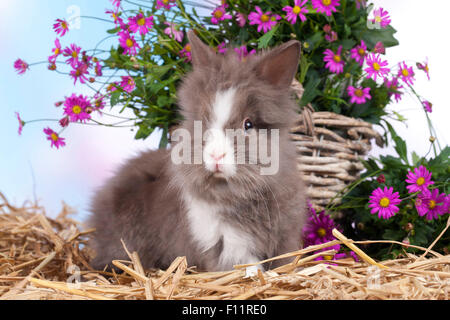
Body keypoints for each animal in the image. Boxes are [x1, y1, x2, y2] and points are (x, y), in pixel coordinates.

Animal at [90, 31, 312, 272]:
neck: (239, 194)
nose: (215, 156)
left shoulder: (286, 238)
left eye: (248, 124)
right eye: (203, 122)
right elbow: (250, 269)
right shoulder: (228, 246)